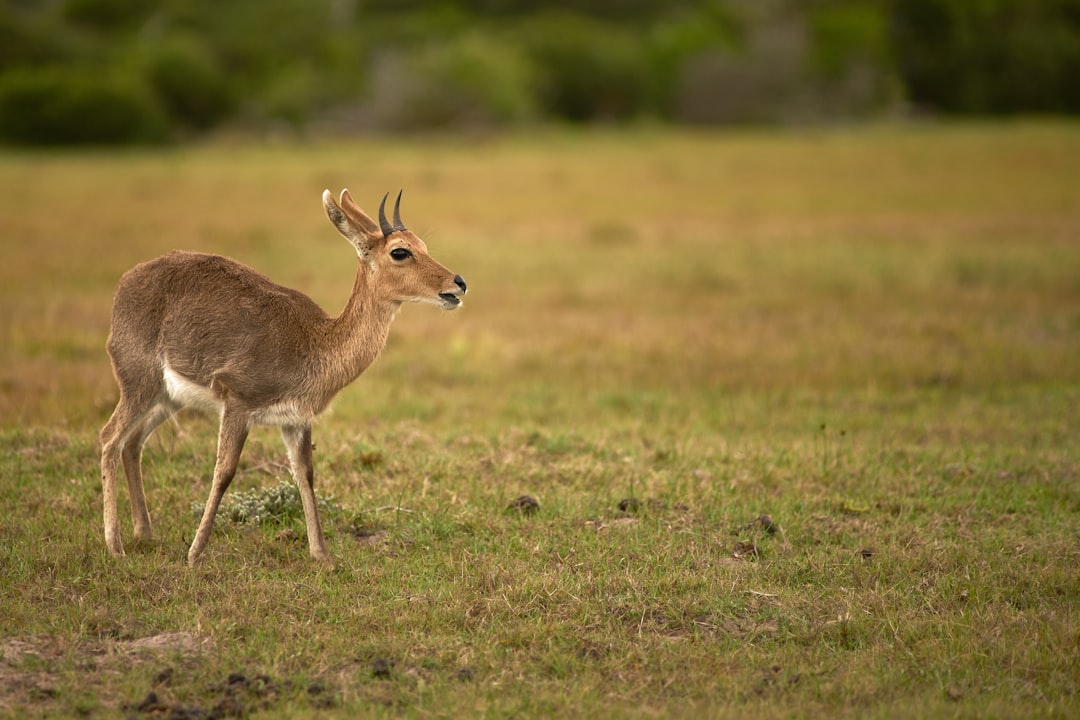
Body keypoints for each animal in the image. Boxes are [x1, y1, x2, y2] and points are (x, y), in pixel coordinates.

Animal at [101, 191, 468, 569]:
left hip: (167, 398)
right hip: (137, 384)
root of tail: (125, 282)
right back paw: (115, 545)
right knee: (109, 439)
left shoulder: (296, 420)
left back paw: (145, 534)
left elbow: (305, 475)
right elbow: (225, 471)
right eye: (400, 251)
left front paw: (322, 555)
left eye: (423, 244)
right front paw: (194, 552)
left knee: (132, 444)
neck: (314, 344)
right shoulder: (238, 402)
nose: (458, 284)